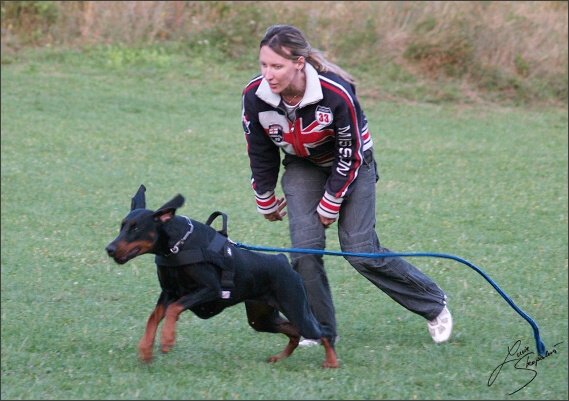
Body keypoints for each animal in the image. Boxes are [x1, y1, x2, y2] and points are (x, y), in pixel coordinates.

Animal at [105, 186, 338, 368]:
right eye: (122, 226)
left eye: (136, 229)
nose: (109, 248)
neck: (176, 247)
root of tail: (282, 260)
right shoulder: (169, 292)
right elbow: (153, 317)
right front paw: (145, 350)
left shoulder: (210, 289)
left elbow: (174, 309)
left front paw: (168, 339)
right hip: (261, 317)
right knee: (294, 332)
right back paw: (279, 357)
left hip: (295, 305)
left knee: (322, 332)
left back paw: (331, 362)